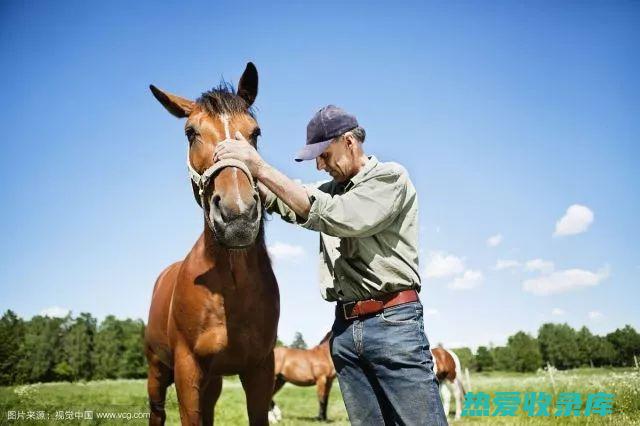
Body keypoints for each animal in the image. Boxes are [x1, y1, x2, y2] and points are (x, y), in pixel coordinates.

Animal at [146, 63, 280, 426]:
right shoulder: (187, 369)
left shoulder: (260, 369)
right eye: (190, 132)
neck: (229, 291)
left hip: (214, 381)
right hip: (156, 370)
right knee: (156, 412)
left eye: (256, 132)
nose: (238, 214)